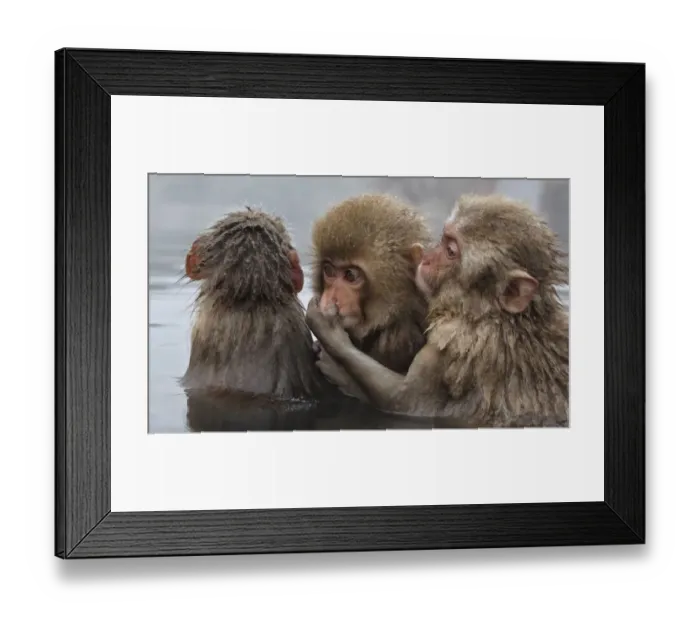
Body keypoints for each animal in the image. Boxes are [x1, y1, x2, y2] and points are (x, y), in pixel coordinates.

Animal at [306, 194, 570, 429]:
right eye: (329, 271)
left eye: (351, 276)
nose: (429, 258)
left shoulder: (453, 340)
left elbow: (408, 402)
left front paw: (330, 338)